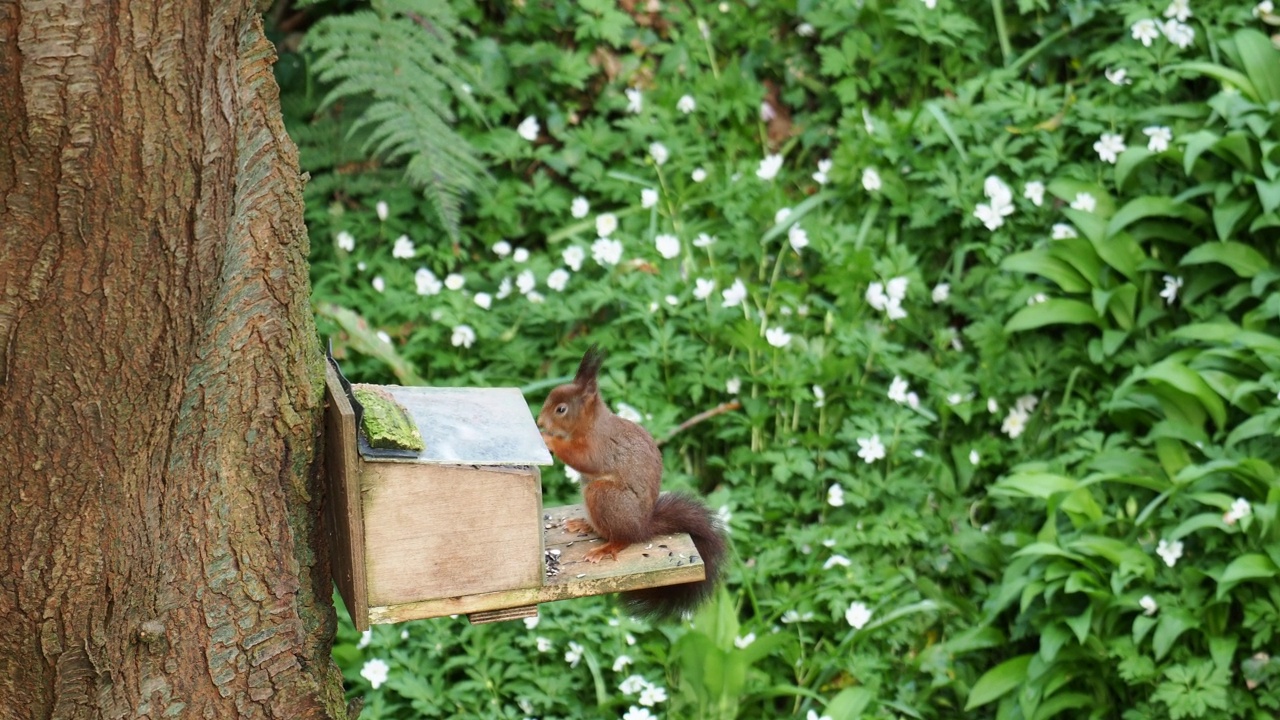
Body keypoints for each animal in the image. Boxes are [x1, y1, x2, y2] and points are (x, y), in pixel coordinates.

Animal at [535, 345, 727, 614]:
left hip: (603, 495)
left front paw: (548, 439)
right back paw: (584, 525)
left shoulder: (600, 446)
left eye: (561, 409)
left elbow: (583, 459)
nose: (539, 421)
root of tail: (642, 527)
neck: (590, 425)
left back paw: (606, 548)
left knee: (623, 539)